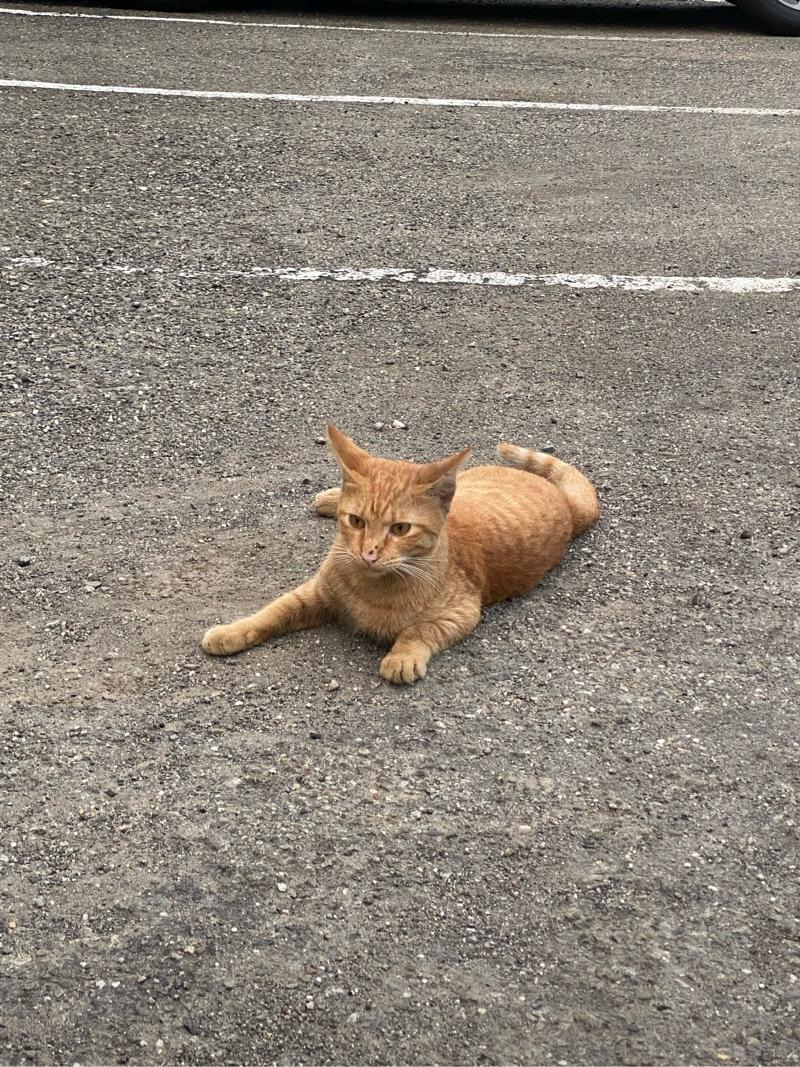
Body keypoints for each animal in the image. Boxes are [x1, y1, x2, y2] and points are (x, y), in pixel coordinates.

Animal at [201, 425, 599, 684]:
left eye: (400, 529)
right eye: (356, 521)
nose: (369, 553)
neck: (373, 587)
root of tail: (569, 507)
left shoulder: (461, 613)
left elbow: (419, 630)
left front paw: (402, 657)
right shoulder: (315, 593)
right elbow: (273, 612)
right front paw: (232, 631)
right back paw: (329, 496)